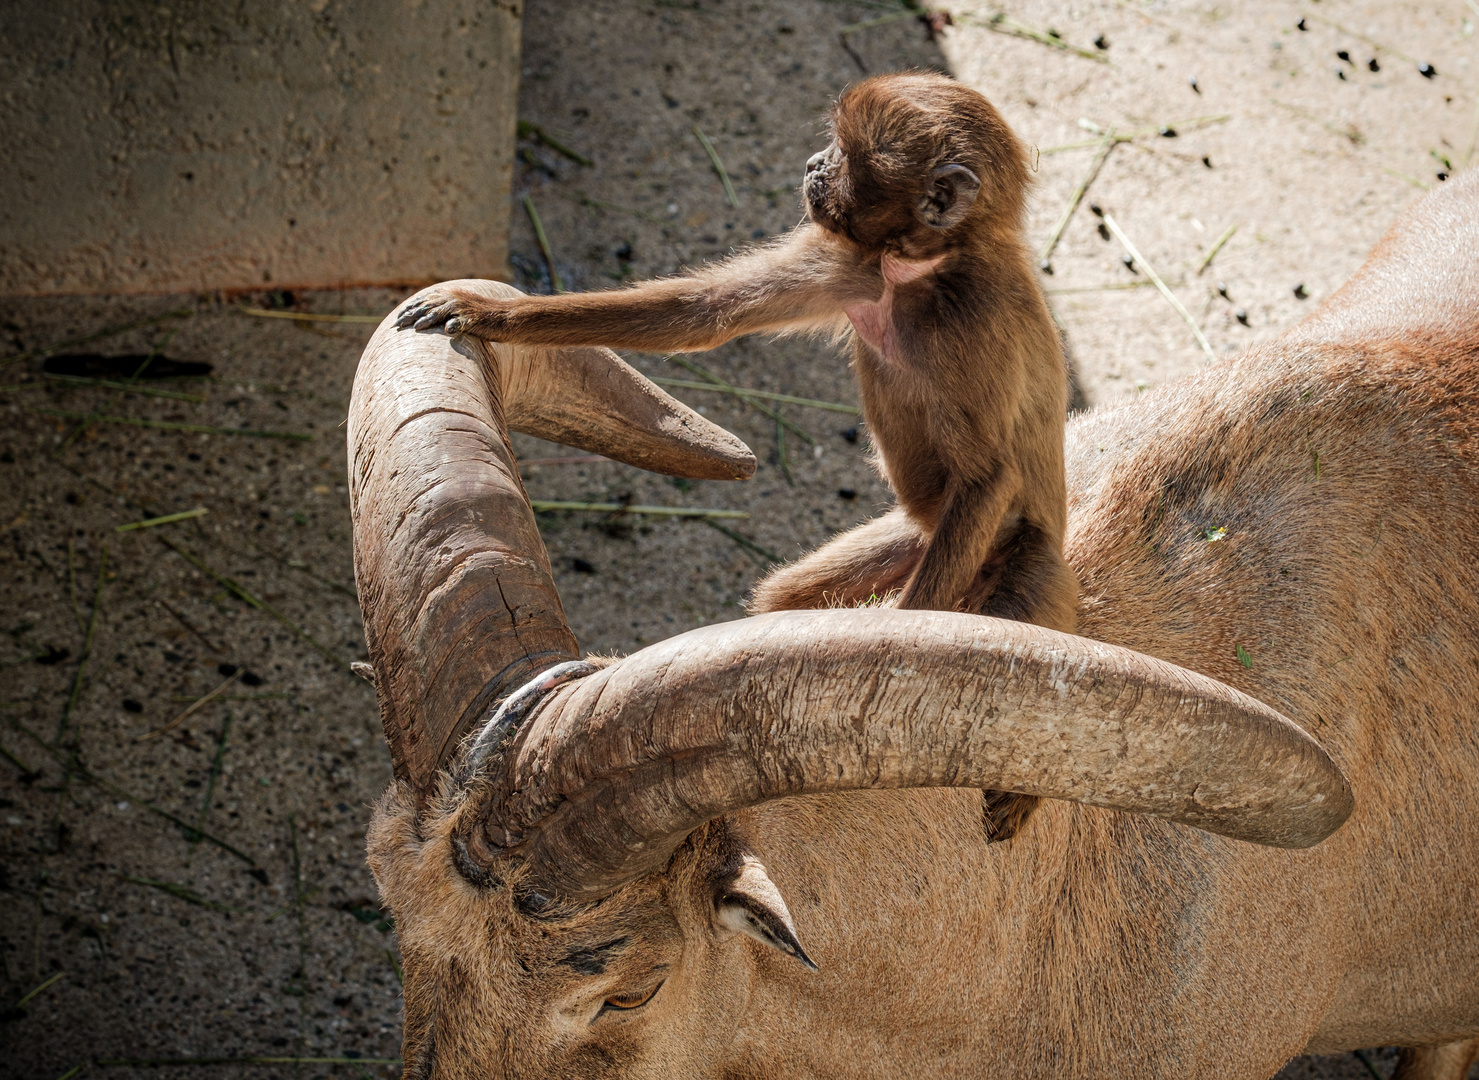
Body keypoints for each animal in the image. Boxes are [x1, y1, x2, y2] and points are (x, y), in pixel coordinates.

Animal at [399, 73, 1082, 630]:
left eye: (844, 157)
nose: (812, 164)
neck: (918, 271)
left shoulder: (971, 323)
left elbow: (988, 478)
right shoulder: (850, 262)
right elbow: (700, 313)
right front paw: (485, 311)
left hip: (1006, 559)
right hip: (923, 539)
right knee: (791, 595)